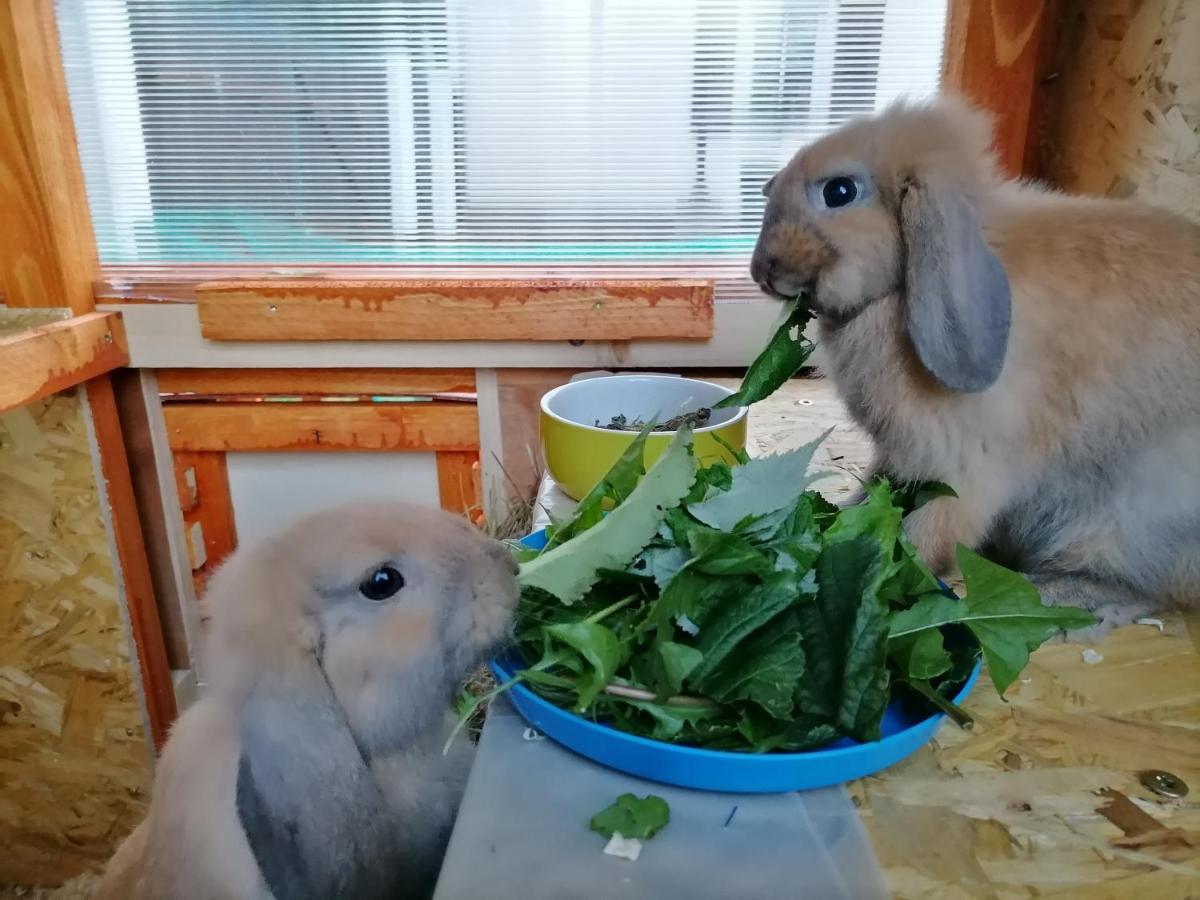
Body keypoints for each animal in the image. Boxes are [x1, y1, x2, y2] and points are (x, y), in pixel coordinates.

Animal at [753, 97, 1195, 633]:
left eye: (839, 191)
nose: (764, 272)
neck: (900, 293)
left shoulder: (967, 470)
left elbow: (930, 532)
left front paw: (886, 566)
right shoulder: (897, 458)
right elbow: (877, 489)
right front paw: (842, 519)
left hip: (1124, 521)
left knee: (1147, 587)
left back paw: (1067, 598)